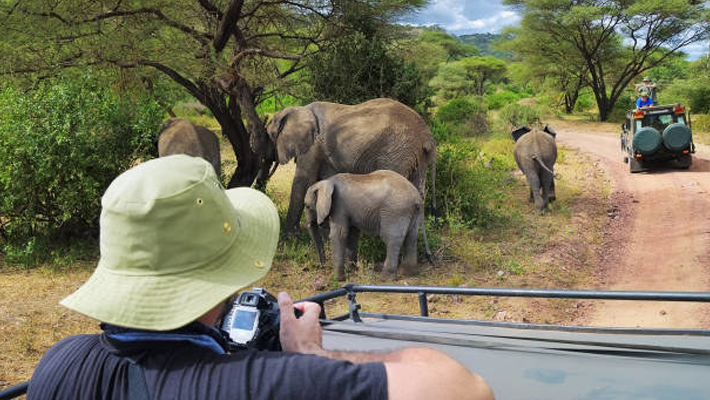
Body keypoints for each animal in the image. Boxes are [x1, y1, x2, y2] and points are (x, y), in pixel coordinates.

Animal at [266, 98, 436, 234]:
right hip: (415, 156)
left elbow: (303, 181)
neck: (298, 109)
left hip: (397, 152)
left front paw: (289, 235)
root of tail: (426, 136)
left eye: (270, 135)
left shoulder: (313, 146)